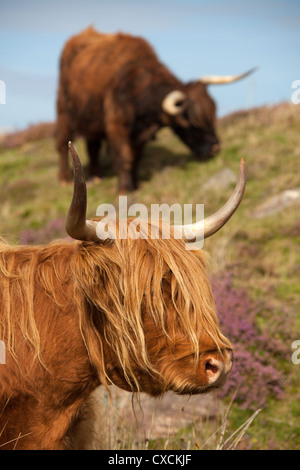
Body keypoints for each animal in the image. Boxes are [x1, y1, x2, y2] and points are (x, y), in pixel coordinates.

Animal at [56, 26, 253, 193]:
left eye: (213, 115)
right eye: (193, 123)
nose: (215, 148)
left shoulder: (140, 135)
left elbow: (135, 157)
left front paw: (135, 184)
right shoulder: (116, 125)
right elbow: (125, 157)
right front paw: (125, 189)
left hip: (91, 120)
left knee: (93, 146)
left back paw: (97, 176)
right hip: (64, 113)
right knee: (63, 143)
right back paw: (65, 178)